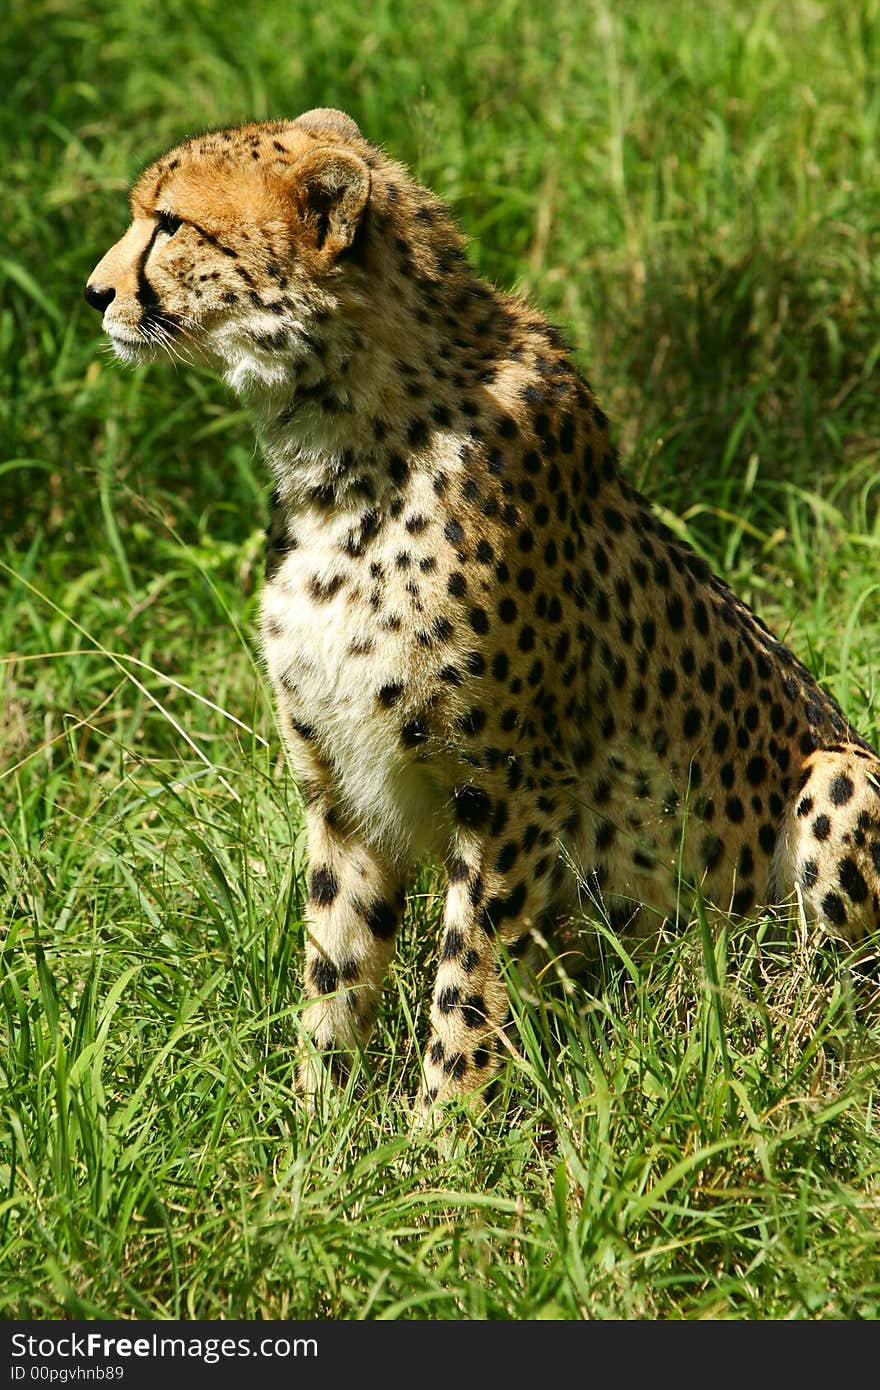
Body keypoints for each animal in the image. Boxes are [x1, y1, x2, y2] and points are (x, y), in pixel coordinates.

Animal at [85, 108, 878, 1106]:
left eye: (171, 224)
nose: (94, 291)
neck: (339, 456)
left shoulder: (510, 791)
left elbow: (469, 978)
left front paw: (442, 1131)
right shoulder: (341, 788)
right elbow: (335, 962)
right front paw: (315, 1124)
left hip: (841, 776)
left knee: (833, 985)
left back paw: (771, 1027)